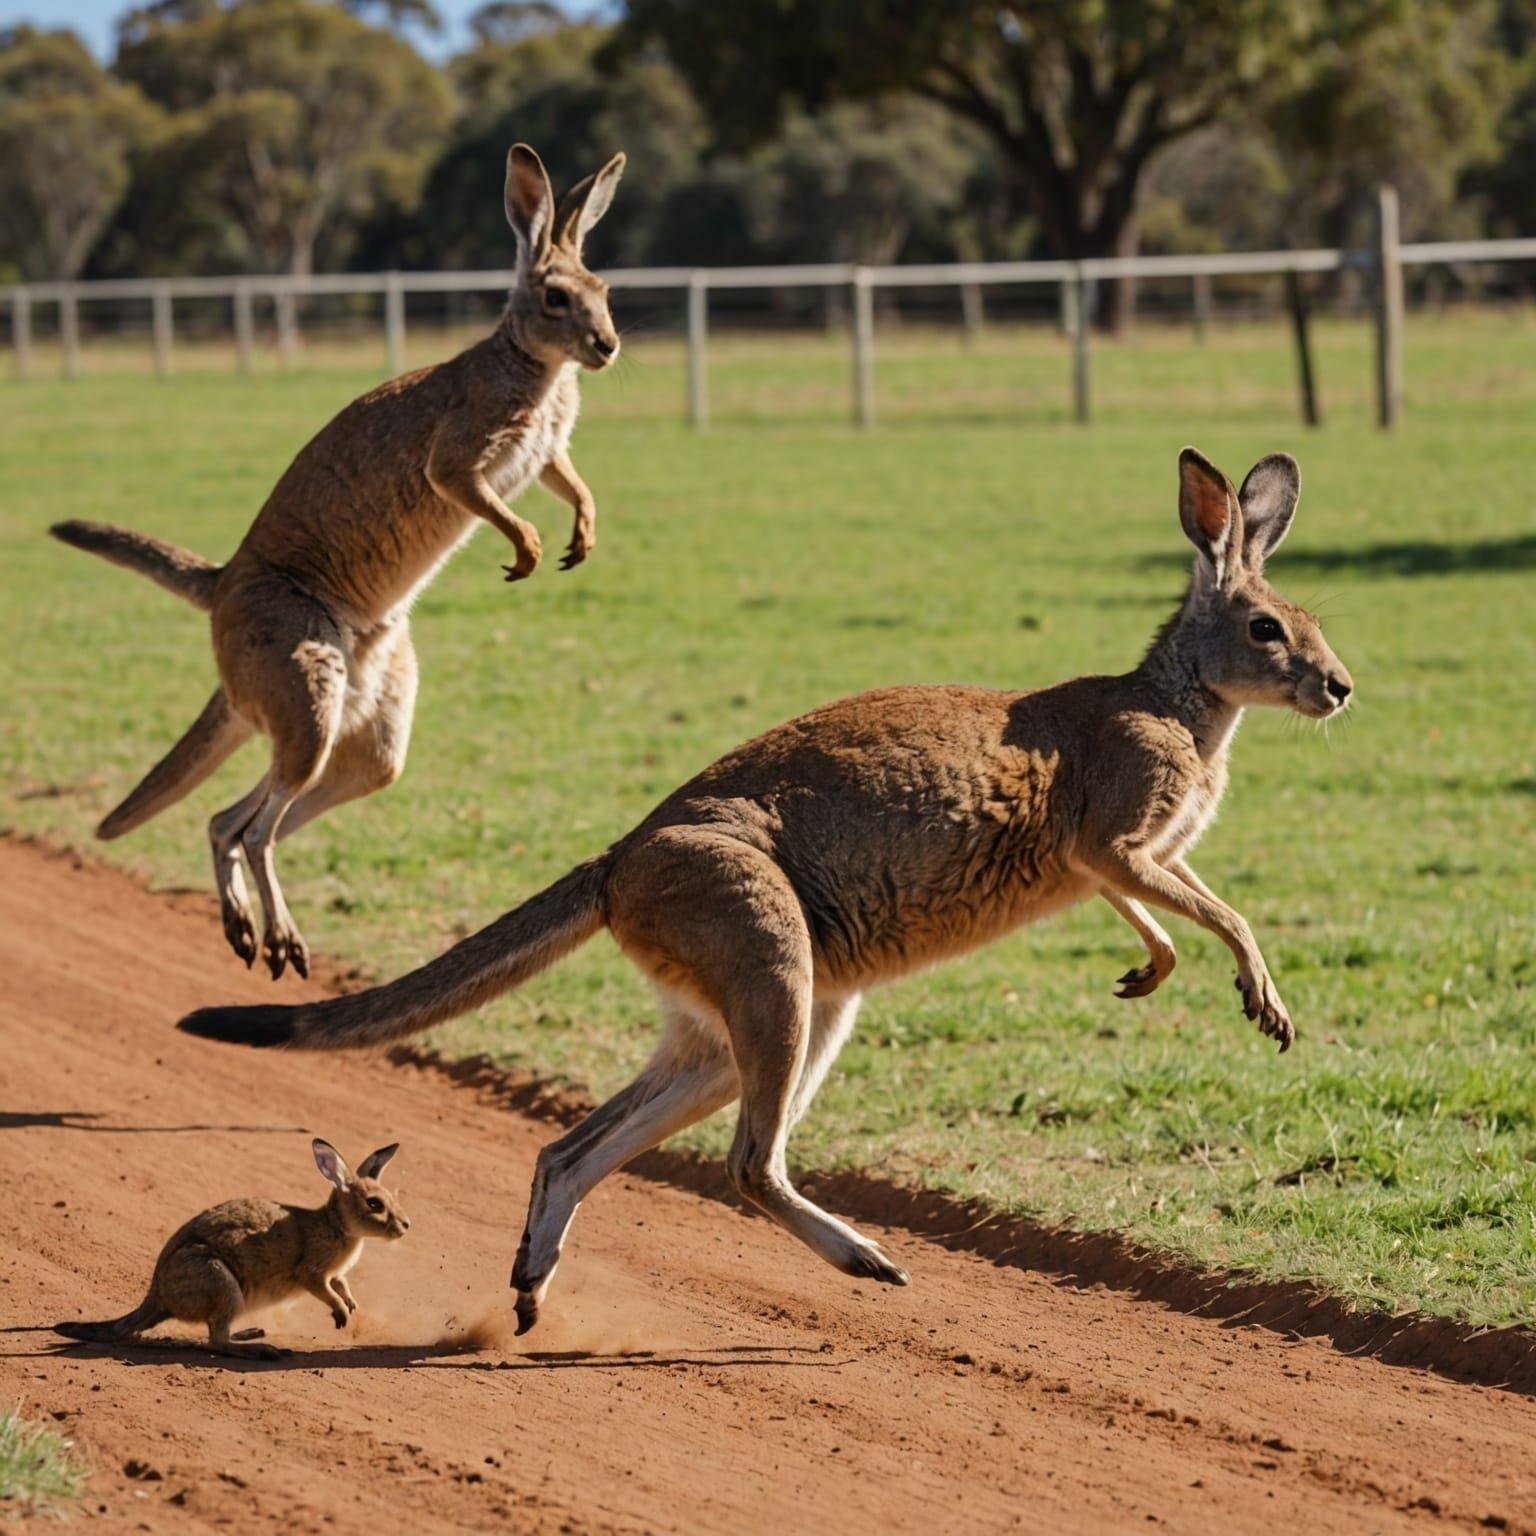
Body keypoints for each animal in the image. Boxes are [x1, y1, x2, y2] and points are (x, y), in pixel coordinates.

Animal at [48, 142, 625, 982]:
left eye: (604, 292)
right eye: (554, 297)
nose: (608, 347)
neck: (535, 370)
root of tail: (221, 583)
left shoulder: (546, 451)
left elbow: (570, 484)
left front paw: (580, 539)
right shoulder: (460, 455)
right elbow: (477, 493)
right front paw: (527, 549)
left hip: (373, 725)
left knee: (236, 818)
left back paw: (246, 930)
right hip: (303, 673)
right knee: (253, 824)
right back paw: (279, 937)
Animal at [55, 1139, 408, 1360]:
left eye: (391, 1198)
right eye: (374, 1204)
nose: (406, 1226)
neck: (336, 1225)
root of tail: (158, 1296)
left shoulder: (335, 1275)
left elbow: (341, 1285)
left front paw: (350, 1306)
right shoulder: (312, 1273)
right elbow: (325, 1290)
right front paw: (341, 1316)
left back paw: (253, 1334)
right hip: (221, 1283)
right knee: (216, 1340)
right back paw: (262, 1351)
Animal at [181, 447, 1353, 1334]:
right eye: (1267, 630)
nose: (1341, 687)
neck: (1187, 707)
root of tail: (618, 863)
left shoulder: (1119, 858)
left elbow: (1163, 903)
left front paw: (1153, 971)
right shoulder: (1114, 828)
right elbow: (1212, 903)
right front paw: (1260, 997)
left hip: (734, 1011)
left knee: (574, 1146)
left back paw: (529, 1290)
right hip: (763, 941)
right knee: (748, 1163)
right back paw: (864, 1260)